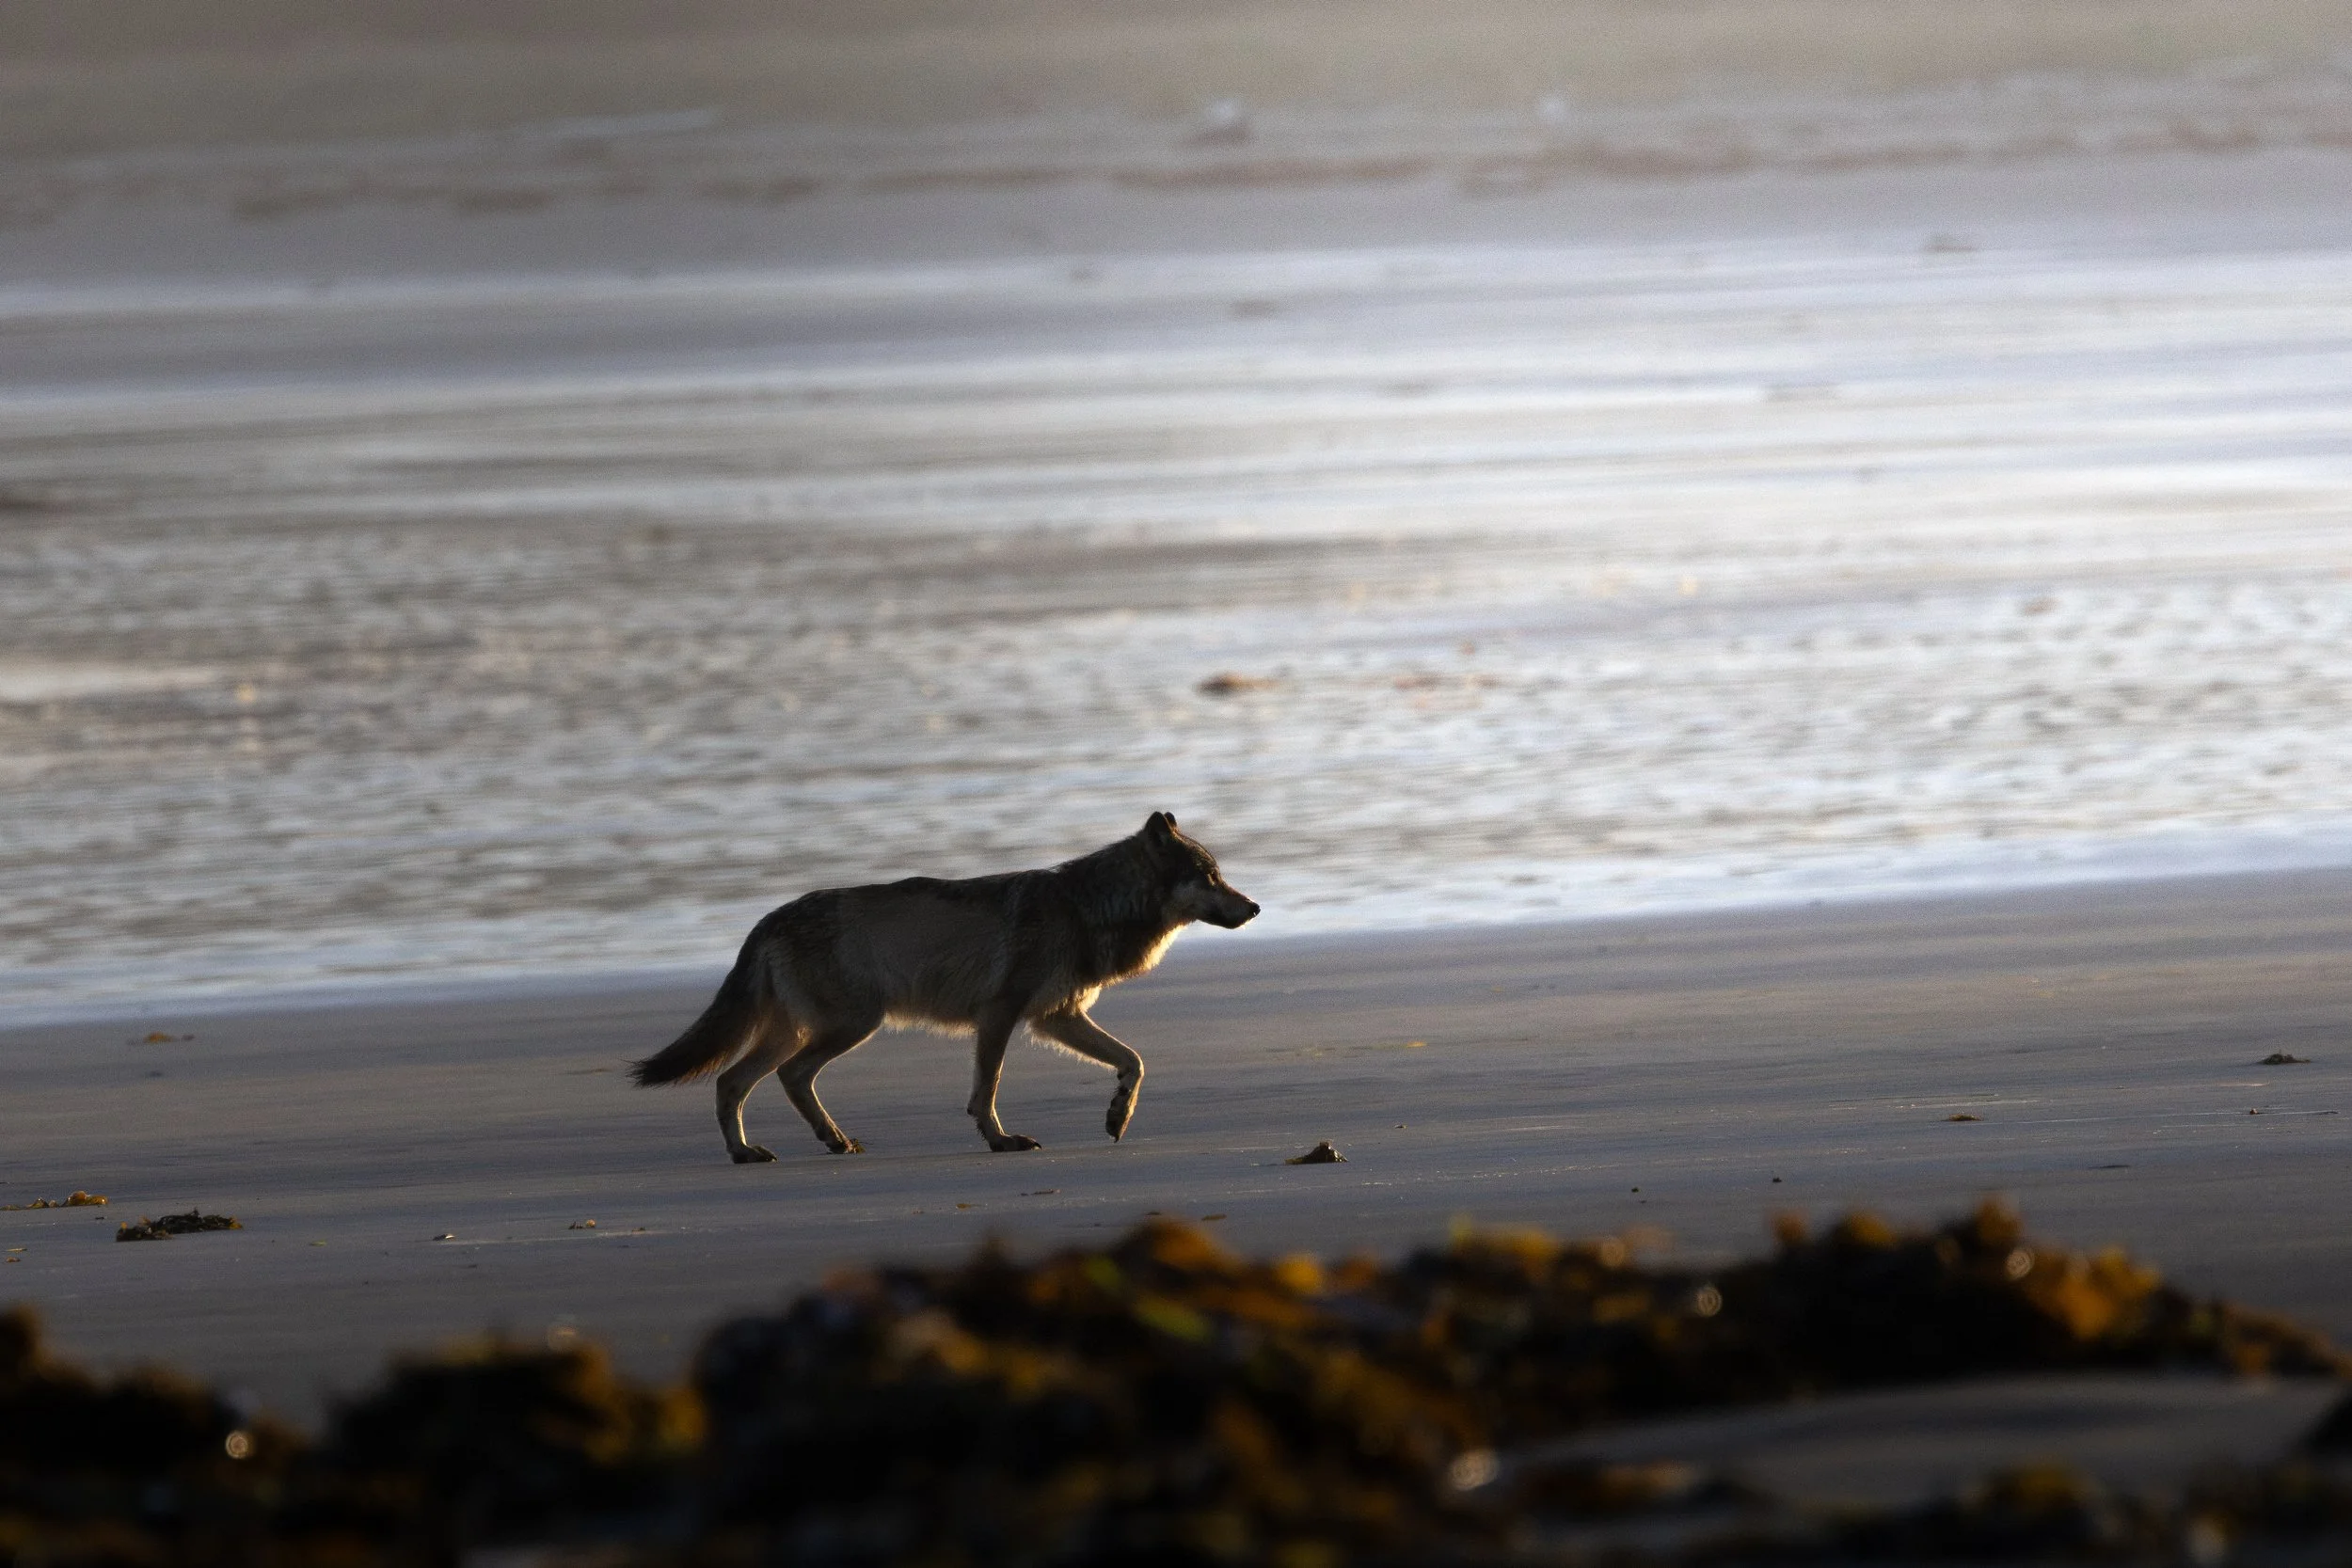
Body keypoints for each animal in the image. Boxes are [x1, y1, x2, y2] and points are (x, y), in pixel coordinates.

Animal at [631, 812, 1258, 1159]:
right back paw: (818, 1142)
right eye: (1209, 877)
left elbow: (1134, 1061)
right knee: (782, 1077)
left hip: (803, 1032)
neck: (1086, 908)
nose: (1254, 907)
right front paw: (1001, 1141)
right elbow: (988, 1090)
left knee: (731, 1082)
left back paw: (763, 1151)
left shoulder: (1056, 1017)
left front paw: (1117, 1116)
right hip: (850, 1027)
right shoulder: (1001, 1015)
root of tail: (768, 918)